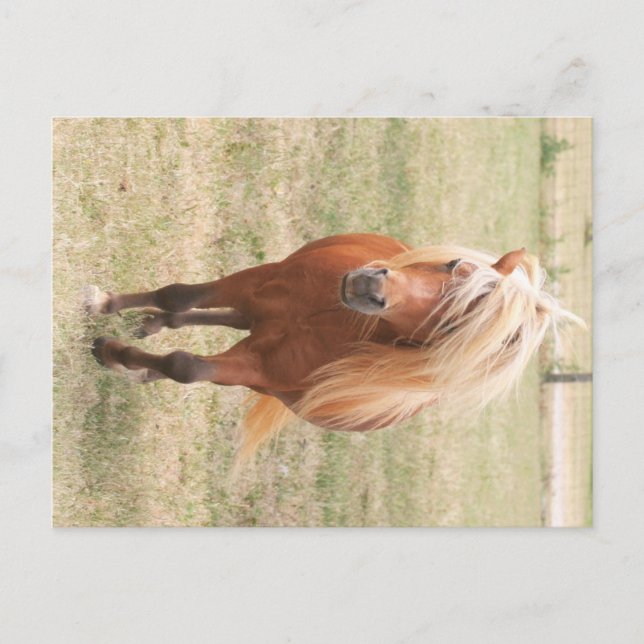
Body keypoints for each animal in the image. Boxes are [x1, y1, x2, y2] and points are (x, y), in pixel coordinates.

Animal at [85, 233, 581, 460]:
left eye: (453, 326)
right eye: (453, 264)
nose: (371, 285)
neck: (331, 318)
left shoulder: (255, 369)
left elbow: (185, 366)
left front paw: (113, 354)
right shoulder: (257, 282)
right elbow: (179, 295)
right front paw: (104, 305)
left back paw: (141, 357)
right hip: (258, 307)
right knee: (204, 313)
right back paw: (148, 326)